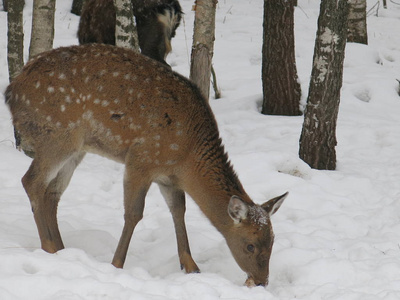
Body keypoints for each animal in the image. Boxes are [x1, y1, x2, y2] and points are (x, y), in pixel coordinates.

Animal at [6, 44, 288, 286]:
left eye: (273, 241)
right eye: (250, 245)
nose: (261, 281)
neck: (188, 156)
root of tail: (11, 91)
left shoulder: (168, 177)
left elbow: (179, 211)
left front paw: (191, 266)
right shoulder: (141, 158)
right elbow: (134, 214)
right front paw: (116, 264)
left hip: (76, 149)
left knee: (52, 193)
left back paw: (62, 249)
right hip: (57, 134)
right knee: (31, 182)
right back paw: (48, 248)